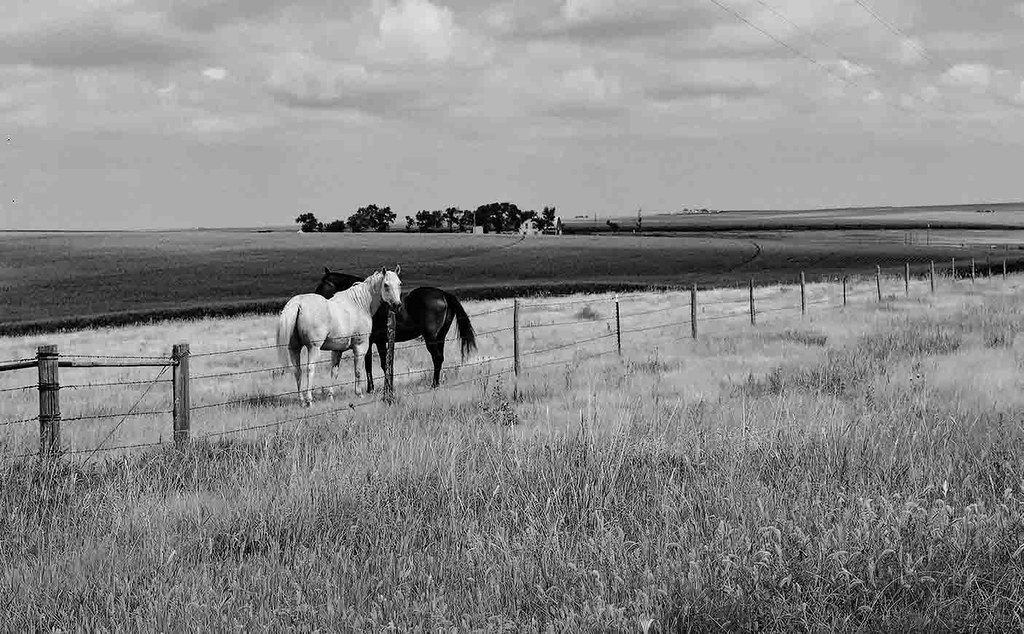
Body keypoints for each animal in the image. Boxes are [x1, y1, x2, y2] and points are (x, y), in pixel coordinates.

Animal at [276, 266, 402, 406]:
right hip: (313, 348)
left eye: (399, 284)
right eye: (386, 285)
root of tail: (298, 304)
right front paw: (359, 394)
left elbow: (334, 372)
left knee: (297, 371)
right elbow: (358, 370)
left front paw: (331, 396)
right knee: (310, 369)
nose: (397, 305)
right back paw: (309, 400)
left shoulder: (337, 350)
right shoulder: (361, 346)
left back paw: (302, 401)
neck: (359, 305)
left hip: (294, 349)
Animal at [314, 268, 477, 391]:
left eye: (323, 283)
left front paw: (374, 389)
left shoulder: (373, 342)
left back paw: (434, 385)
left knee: (437, 358)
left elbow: (375, 364)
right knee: (440, 358)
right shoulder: (376, 341)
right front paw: (379, 387)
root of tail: (443, 295)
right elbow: (376, 364)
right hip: (440, 337)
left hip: (431, 337)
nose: (315, 297)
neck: (364, 303)